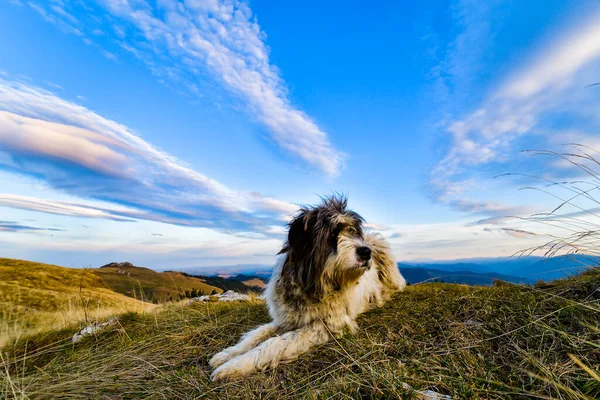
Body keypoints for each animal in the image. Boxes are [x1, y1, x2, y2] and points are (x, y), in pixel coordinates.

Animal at [209, 196, 406, 382]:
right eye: (333, 233)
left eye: (354, 233)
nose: (366, 252)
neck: (311, 287)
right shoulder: (286, 318)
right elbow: (257, 334)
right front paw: (227, 354)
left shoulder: (331, 324)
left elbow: (275, 343)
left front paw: (235, 366)